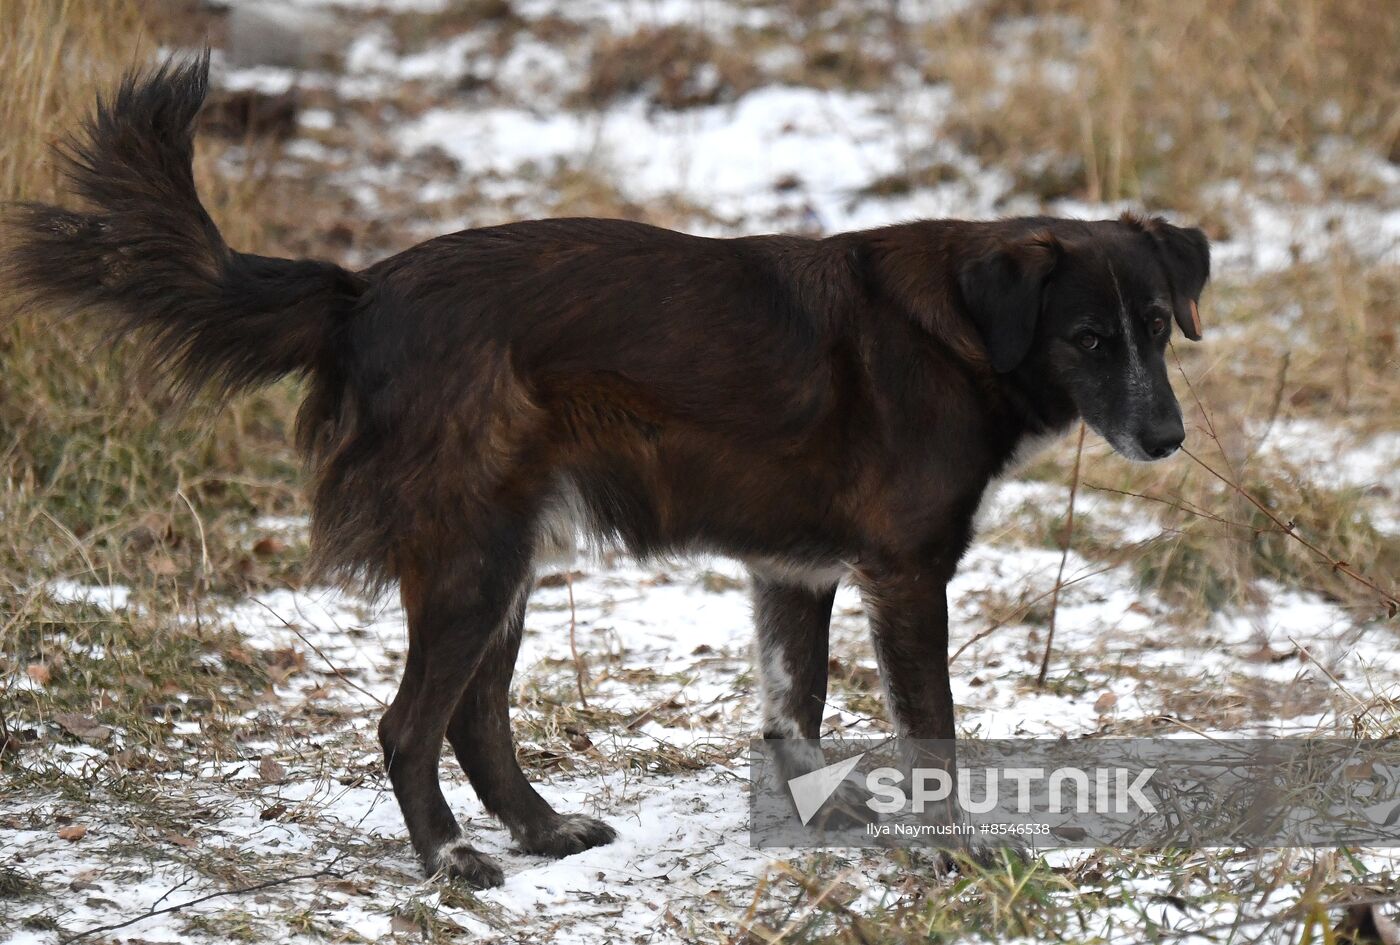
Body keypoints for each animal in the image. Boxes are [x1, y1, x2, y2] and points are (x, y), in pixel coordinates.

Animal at [5, 59, 1204, 884]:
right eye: (1087, 339)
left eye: (1155, 325)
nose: (1167, 437)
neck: (963, 326)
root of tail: (361, 293)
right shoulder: (906, 577)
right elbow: (933, 736)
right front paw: (955, 855)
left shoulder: (794, 572)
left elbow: (792, 710)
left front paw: (822, 815)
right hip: (475, 556)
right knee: (410, 725)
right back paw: (449, 860)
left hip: (507, 552)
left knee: (474, 717)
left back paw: (539, 829)